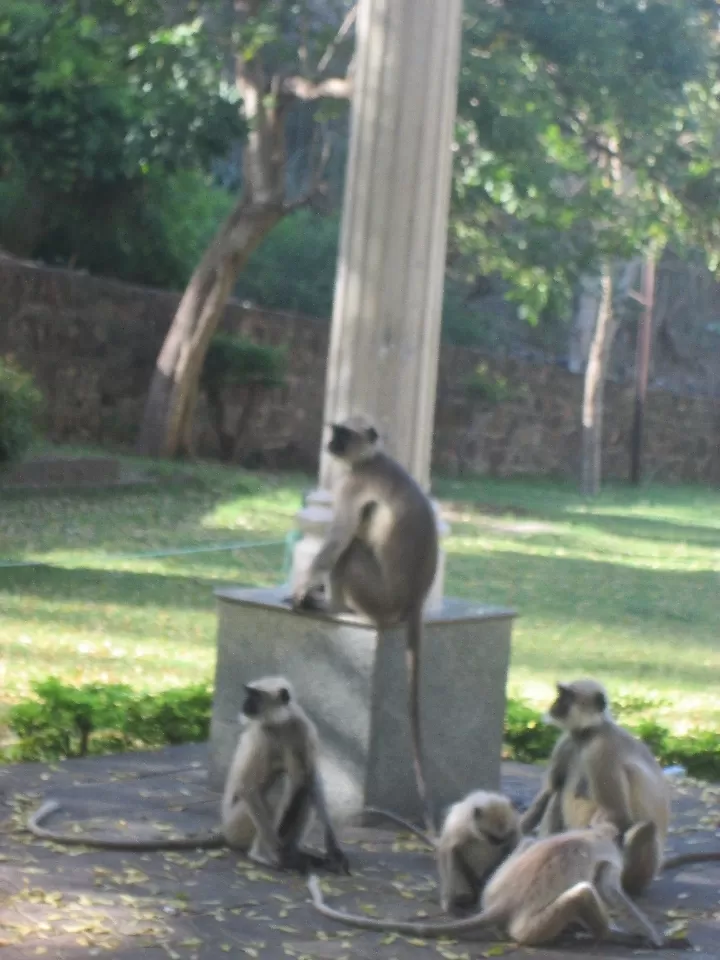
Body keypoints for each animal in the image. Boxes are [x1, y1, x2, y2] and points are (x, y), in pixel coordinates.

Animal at [28, 680, 352, 872]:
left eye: (254, 697)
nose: (244, 705)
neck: (280, 724)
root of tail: (225, 830)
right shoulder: (263, 735)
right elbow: (249, 786)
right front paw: (277, 851)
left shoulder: (303, 727)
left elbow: (314, 779)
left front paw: (333, 849)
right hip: (240, 824)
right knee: (286, 782)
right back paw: (267, 855)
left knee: (302, 785)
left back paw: (298, 853)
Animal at [288, 416, 436, 836]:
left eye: (343, 434)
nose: (331, 443)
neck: (373, 458)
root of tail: (415, 601)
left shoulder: (354, 483)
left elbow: (336, 541)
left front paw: (301, 590)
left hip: (377, 597)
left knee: (351, 548)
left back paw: (333, 605)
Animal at [306, 812, 668, 948]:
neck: (592, 835)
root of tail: (503, 903)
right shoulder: (610, 860)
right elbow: (608, 889)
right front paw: (652, 935)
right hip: (528, 929)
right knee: (584, 891)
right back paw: (608, 935)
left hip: (496, 886)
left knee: (529, 841)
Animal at [362, 792, 520, 920]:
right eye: (492, 838)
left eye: (503, 838)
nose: (499, 843)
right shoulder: (459, 826)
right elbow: (452, 851)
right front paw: (454, 903)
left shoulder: (512, 827)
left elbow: (511, 849)